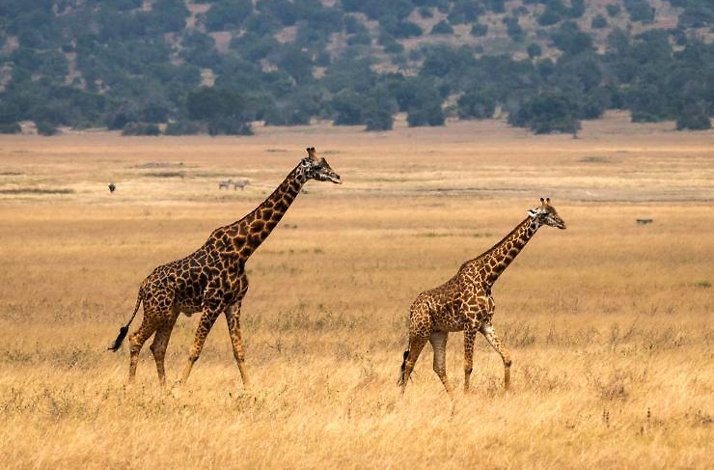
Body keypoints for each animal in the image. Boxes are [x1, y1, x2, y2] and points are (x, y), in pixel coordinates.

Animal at [109, 147, 341, 387]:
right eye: (318, 166)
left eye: (326, 163)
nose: (337, 176)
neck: (243, 251)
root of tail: (143, 286)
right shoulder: (213, 303)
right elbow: (195, 350)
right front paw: (181, 386)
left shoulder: (234, 303)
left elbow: (239, 351)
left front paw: (249, 389)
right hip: (157, 310)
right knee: (135, 338)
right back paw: (132, 386)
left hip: (170, 311)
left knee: (157, 346)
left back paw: (163, 388)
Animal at [398, 198, 566, 394]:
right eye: (545, 213)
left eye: (555, 210)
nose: (562, 223)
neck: (488, 279)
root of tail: (411, 309)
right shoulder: (470, 324)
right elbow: (468, 365)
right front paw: (467, 395)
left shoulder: (485, 323)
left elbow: (507, 357)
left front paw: (506, 392)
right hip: (420, 330)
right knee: (409, 363)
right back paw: (402, 397)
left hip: (438, 333)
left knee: (438, 366)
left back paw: (452, 397)